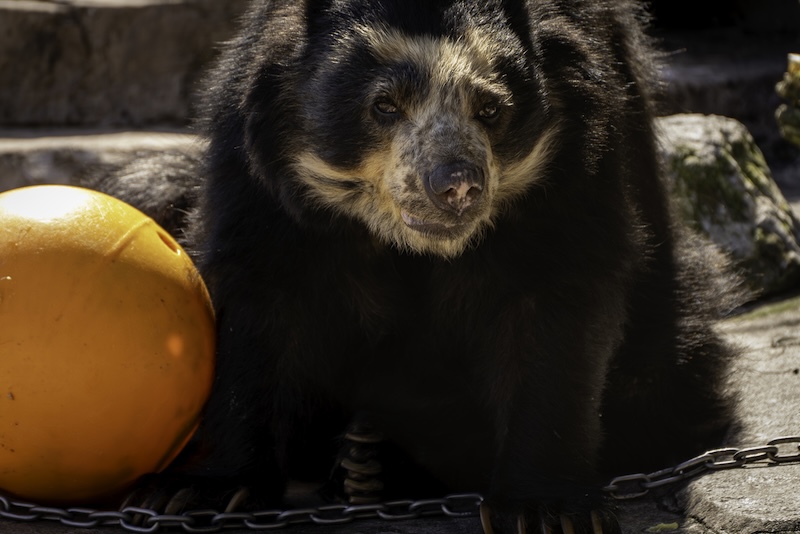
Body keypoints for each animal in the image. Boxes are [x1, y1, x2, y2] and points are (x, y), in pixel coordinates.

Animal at [103, 0, 742, 532]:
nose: (456, 186)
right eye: (384, 105)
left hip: (673, 316)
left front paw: (547, 507)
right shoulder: (257, 159)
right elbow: (258, 294)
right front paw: (197, 492)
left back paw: (374, 465)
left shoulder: (581, 145)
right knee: (149, 184)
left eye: (490, 108)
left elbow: (557, 299)